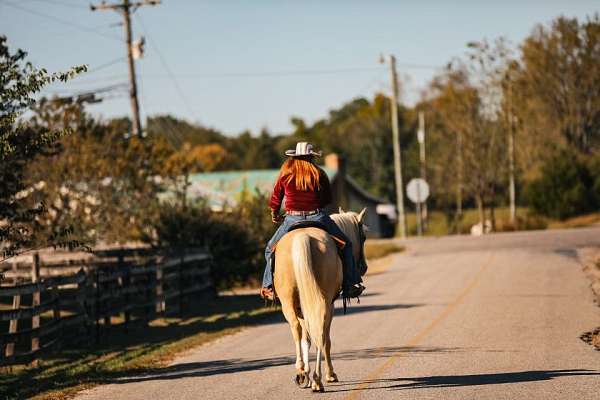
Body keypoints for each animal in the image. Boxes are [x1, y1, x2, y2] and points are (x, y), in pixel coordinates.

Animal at [272, 208, 366, 392]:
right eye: (364, 237)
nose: (364, 267)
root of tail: (303, 237)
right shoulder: (330, 305)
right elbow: (324, 340)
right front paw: (329, 375)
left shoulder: (302, 308)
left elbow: (306, 340)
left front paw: (306, 375)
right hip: (324, 302)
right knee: (321, 333)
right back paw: (318, 380)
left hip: (288, 302)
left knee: (297, 328)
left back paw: (301, 372)